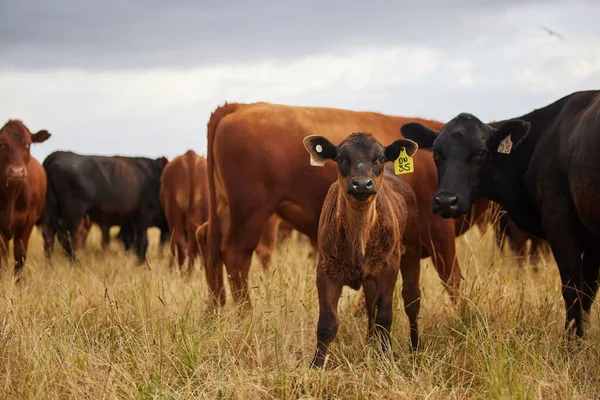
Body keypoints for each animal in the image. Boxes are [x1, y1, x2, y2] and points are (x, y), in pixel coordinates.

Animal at [0, 120, 50, 280]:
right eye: (2, 144)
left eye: (27, 144)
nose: (16, 172)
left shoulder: (28, 221)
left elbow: (20, 255)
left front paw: (19, 283)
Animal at [41, 151, 169, 262]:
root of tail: (57, 154)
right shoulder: (143, 214)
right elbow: (142, 241)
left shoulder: (130, 222)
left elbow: (130, 241)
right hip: (73, 213)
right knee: (65, 237)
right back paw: (77, 263)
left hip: (51, 212)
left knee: (48, 236)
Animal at [304, 133, 422, 368]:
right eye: (341, 158)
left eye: (380, 158)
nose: (361, 184)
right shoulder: (326, 270)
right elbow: (327, 323)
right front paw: (315, 366)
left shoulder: (389, 266)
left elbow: (384, 316)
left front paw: (385, 359)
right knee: (370, 304)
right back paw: (370, 343)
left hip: (412, 253)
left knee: (412, 300)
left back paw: (414, 350)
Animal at [398, 90, 600, 338]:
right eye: (436, 153)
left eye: (481, 153)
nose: (446, 201)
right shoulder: (591, 240)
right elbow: (587, 294)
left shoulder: (560, 224)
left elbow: (573, 291)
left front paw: (572, 344)